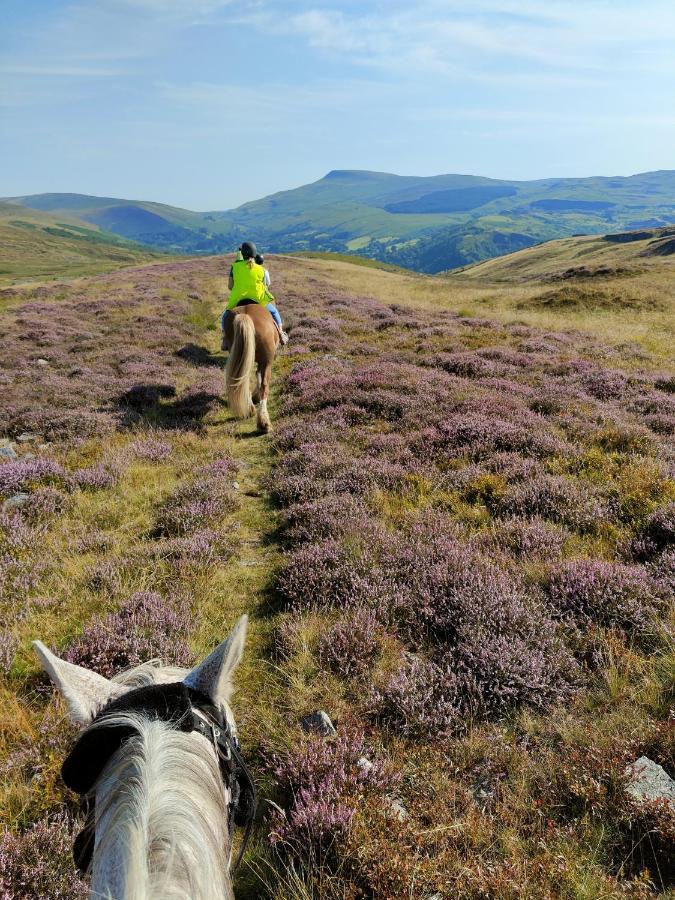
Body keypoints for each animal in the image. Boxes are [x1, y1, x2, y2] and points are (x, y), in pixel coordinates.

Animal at [224, 302, 280, 432]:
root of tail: (245, 314)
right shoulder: (264, 362)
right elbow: (259, 379)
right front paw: (256, 396)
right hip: (267, 361)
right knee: (264, 386)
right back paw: (264, 422)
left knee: (243, 381)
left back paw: (250, 409)